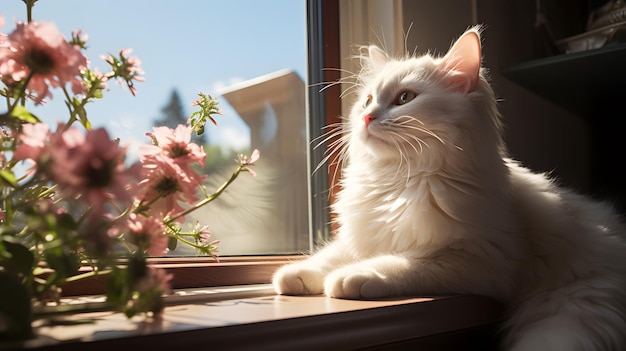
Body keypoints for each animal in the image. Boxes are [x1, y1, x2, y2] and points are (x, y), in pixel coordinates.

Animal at [272, 26, 624, 350]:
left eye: (405, 98)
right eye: (368, 100)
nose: (367, 118)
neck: (398, 180)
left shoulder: (477, 259)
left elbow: (399, 264)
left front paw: (351, 278)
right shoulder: (365, 235)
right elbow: (330, 256)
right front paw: (293, 276)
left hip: (562, 325)